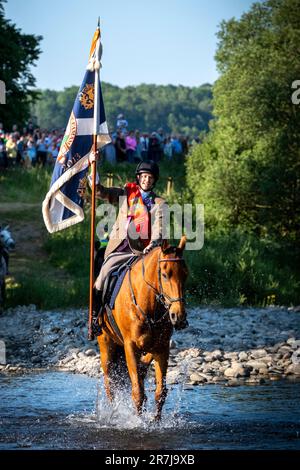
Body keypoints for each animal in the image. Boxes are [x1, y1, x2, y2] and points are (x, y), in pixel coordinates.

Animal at [98, 237, 188, 420]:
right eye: (165, 275)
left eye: (186, 275)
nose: (179, 316)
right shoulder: (130, 347)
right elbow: (137, 393)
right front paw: (138, 422)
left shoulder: (162, 348)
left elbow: (160, 393)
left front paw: (156, 422)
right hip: (106, 346)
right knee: (109, 385)